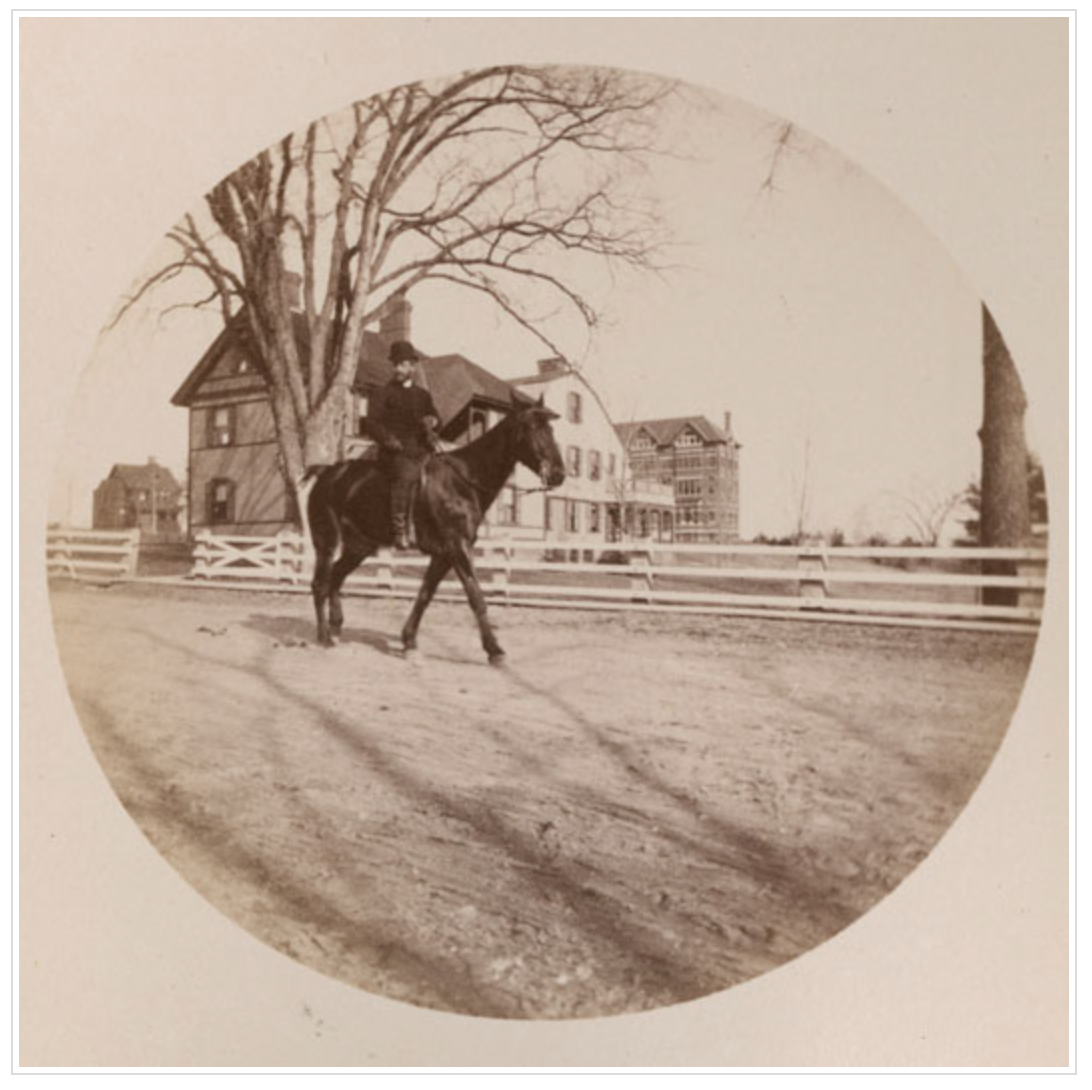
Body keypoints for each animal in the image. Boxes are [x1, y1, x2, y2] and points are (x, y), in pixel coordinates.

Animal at [303, 397, 567, 659]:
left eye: (552, 430)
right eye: (533, 428)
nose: (559, 474)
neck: (463, 481)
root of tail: (327, 472)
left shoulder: (444, 555)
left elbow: (425, 595)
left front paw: (409, 641)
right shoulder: (458, 548)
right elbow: (475, 596)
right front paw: (494, 649)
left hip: (359, 546)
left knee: (336, 577)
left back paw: (336, 628)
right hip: (326, 540)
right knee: (320, 584)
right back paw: (323, 636)